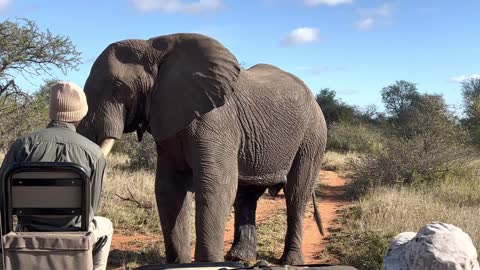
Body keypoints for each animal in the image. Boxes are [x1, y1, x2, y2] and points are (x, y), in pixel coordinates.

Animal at [78, 33, 326, 264]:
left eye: (117, 87)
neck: (154, 47)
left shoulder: (216, 120)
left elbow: (216, 185)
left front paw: (208, 264)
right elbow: (170, 188)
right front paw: (179, 265)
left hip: (312, 136)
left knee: (296, 192)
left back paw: (290, 261)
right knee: (247, 195)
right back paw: (239, 258)